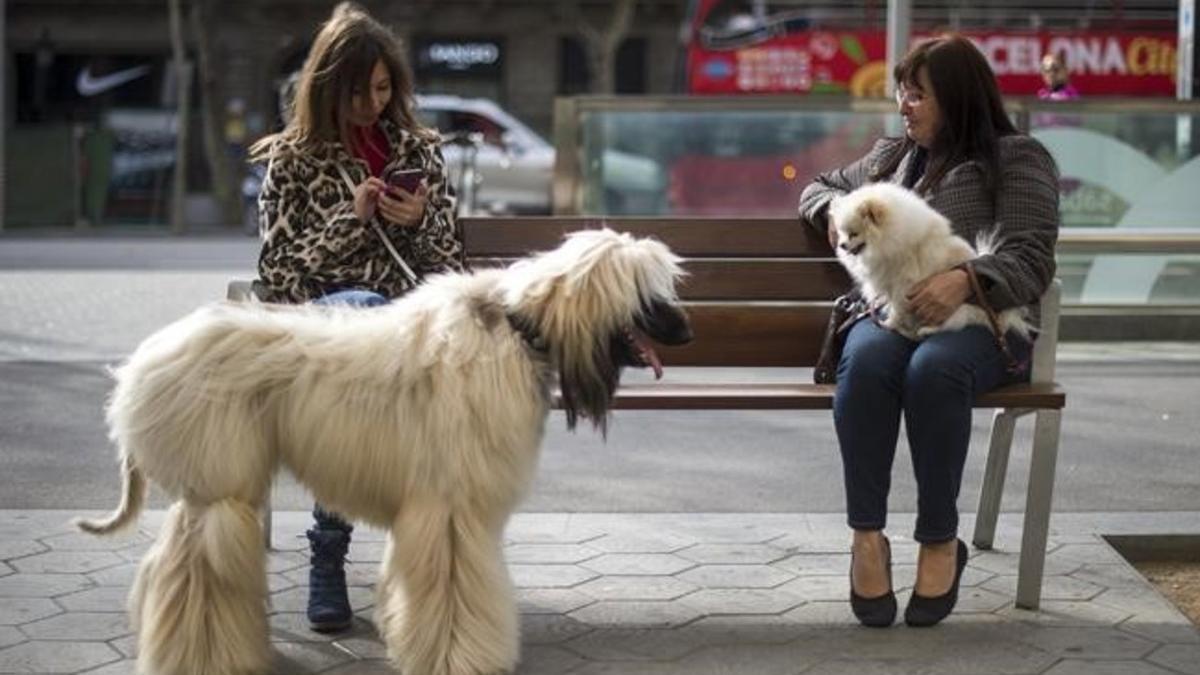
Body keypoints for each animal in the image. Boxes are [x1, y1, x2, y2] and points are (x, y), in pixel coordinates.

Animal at [830, 181, 1027, 338]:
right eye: (841, 233)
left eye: (854, 234)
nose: (842, 245)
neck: (888, 241)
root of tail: (996, 317)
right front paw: (896, 323)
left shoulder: (901, 285)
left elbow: (897, 308)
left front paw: (890, 324)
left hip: (955, 308)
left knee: (950, 325)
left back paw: (925, 330)